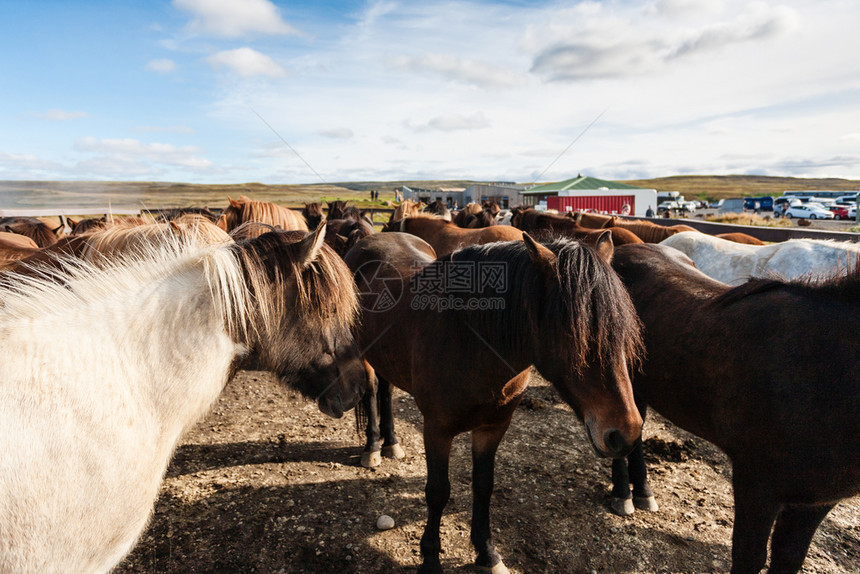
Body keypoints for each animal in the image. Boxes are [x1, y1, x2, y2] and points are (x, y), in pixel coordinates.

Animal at [344, 232, 644, 574]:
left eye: (623, 332)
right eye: (574, 336)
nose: (626, 433)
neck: (470, 339)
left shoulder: (493, 427)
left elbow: (483, 486)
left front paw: (487, 553)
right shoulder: (436, 430)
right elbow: (438, 492)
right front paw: (431, 557)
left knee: (385, 390)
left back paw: (391, 442)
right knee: (371, 391)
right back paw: (372, 447)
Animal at [608, 243, 860, 574]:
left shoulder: (815, 502)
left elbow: (788, 557)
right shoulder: (756, 484)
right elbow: (748, 556)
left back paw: (643, 492)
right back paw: (623, 494)